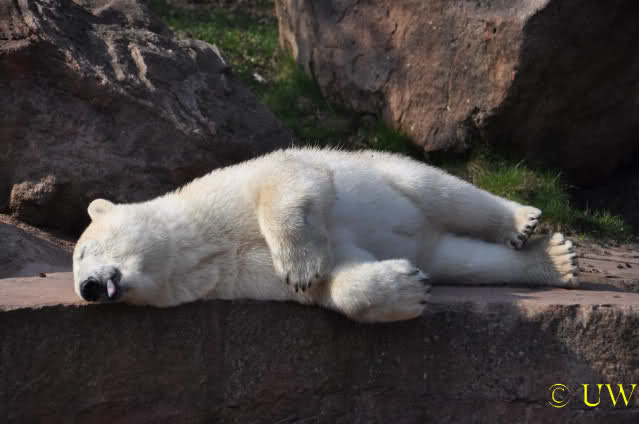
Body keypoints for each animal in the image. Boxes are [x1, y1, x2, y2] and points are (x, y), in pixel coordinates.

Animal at [73, 148, 578, 322]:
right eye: (79, 271)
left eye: (82, 252)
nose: (88, 289)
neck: (204, 243)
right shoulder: (236, 276)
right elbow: (335, 280)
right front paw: (407, 289)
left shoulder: (226, 189)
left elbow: (286, 180)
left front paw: (300, 263)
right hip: (433, 242)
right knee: (459, 259)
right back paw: (552, 262)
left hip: (386, 173)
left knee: (443, 191)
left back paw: (523, 222)